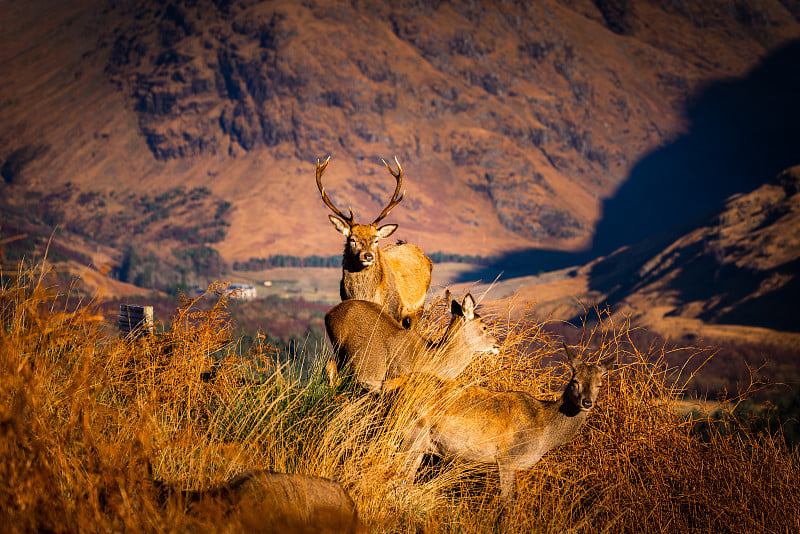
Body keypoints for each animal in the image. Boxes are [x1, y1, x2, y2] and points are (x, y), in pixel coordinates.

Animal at [318, 156, 432, 330]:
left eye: (376, 240)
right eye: (352, 239)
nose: (368, 256)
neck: (368, 296)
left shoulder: (394, 310)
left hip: (418, 309)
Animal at [384, 346, 616, 504]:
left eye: (600, 384)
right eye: (575, 381)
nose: (587, 402)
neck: (543, 431)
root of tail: (398, 382)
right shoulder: (506, 457)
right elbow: (507, 501)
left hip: (424, 442)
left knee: (407, 475)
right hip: (410, 429)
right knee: (395, 470)